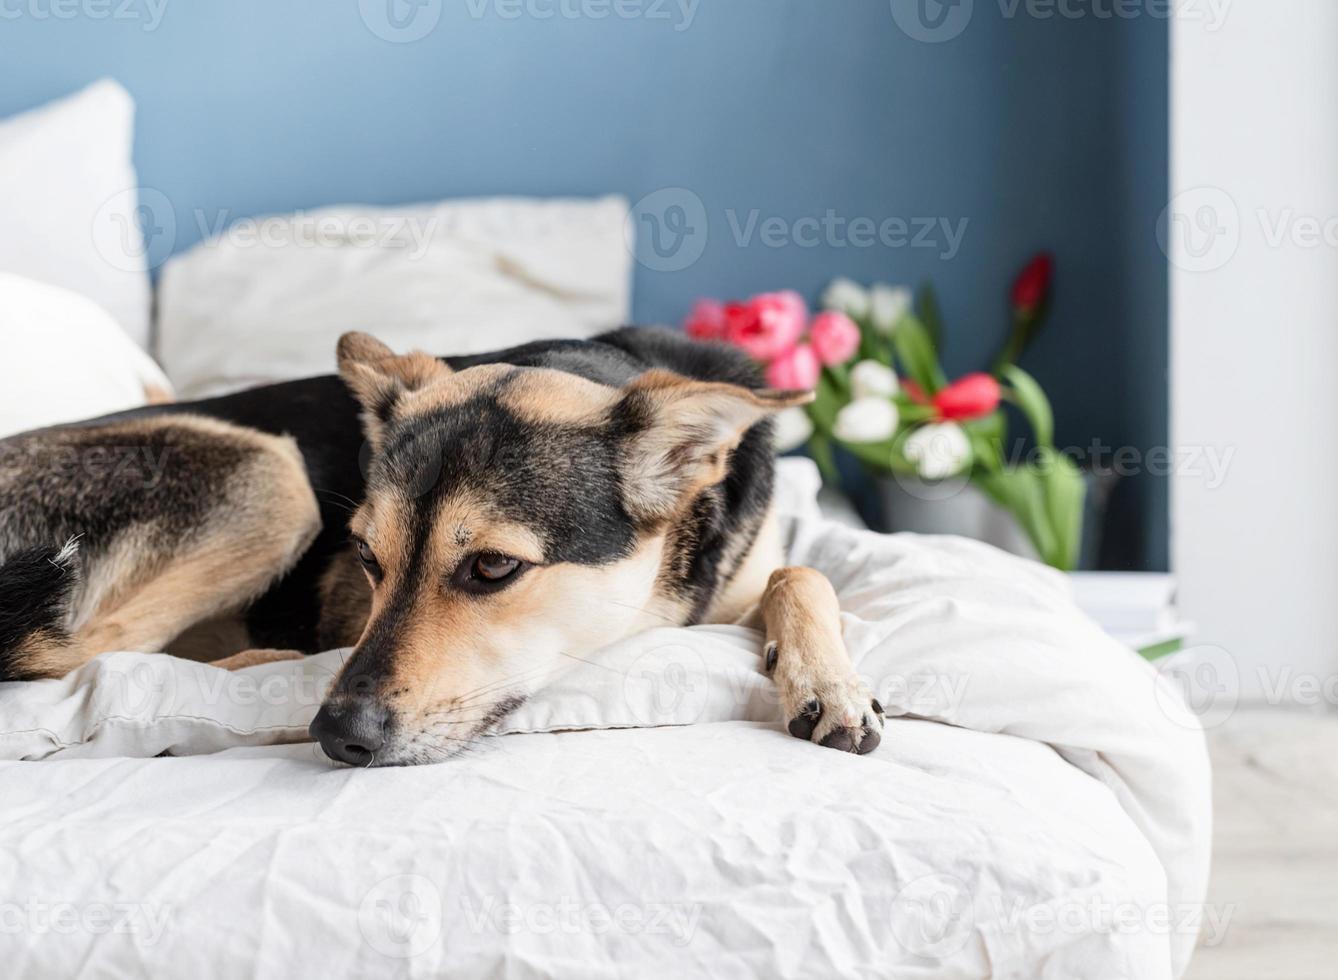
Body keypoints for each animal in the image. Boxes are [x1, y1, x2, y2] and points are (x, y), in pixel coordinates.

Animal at [2, 329, 888, 765]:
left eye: (494, 566)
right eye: (367, 558)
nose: (338, 737)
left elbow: (800, 571)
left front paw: (830, 682)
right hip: (271, 476)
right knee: (74, 657)